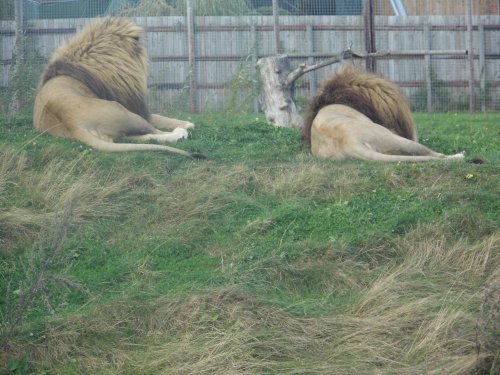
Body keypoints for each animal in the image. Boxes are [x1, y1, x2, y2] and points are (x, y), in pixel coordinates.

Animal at [34, 17, 204, 159]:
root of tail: (73, 123)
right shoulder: (135, 107)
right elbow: (160, 118)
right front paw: (188, 123)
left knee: (139, 138)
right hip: (125, 112)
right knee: (155, 131)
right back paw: (181, 133)